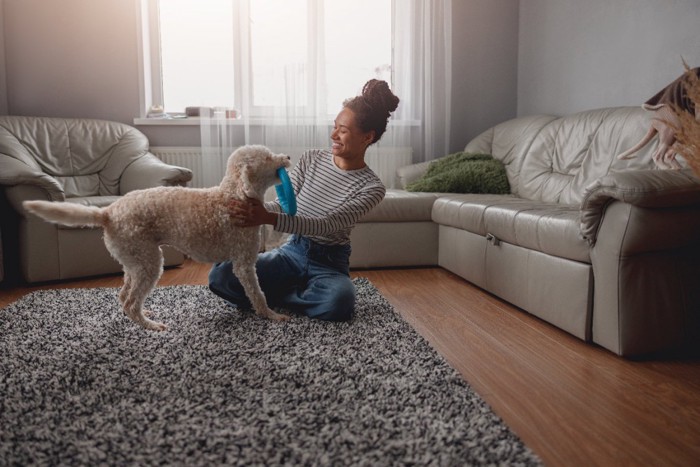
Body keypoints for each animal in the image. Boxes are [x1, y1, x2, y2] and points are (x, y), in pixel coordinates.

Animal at [24, 144, 292, 330]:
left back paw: (143, 315)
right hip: (148, 262)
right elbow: (257, 293)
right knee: (131, 303)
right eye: (268, 157)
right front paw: (271, 315)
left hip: (134, 261)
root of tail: (108, 212)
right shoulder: (244, 264)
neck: (233, 195)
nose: (288, 157)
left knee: (124, 296)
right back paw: (150, 326)